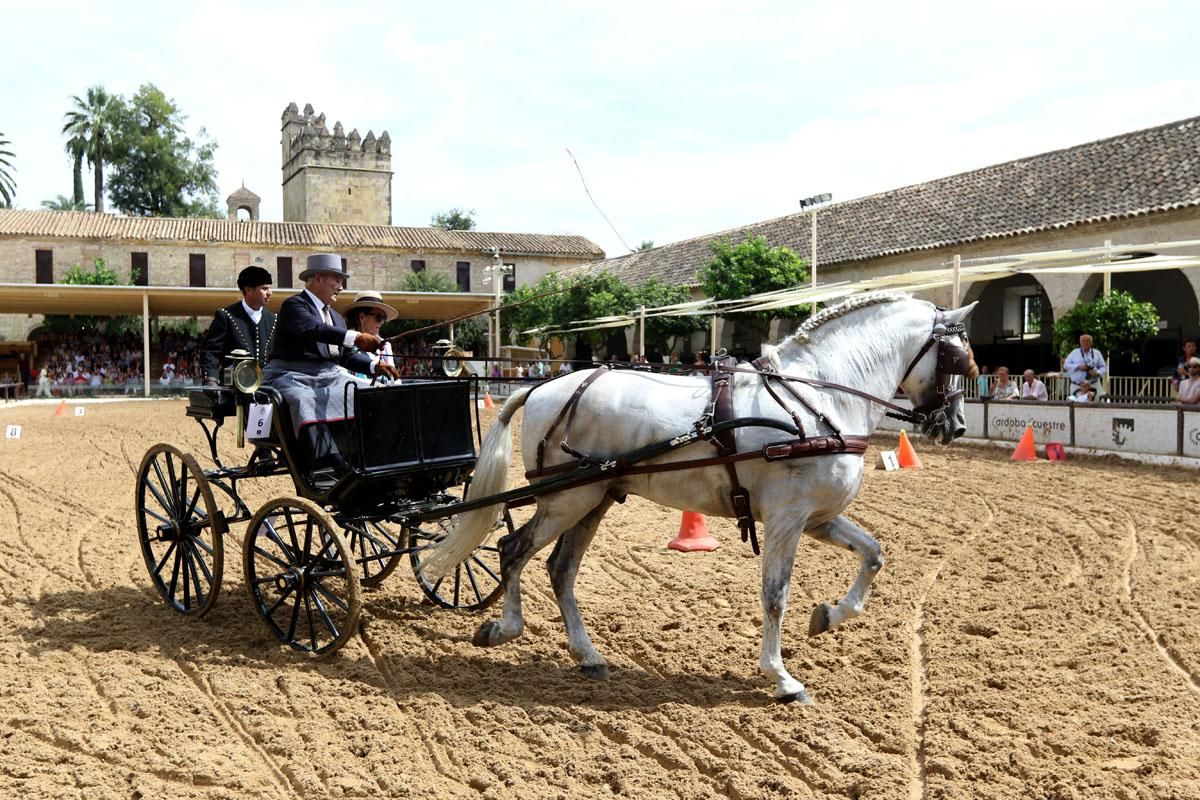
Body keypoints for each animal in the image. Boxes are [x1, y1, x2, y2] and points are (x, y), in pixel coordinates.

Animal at [422, 292, 974, 700]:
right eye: (957, 359)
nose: (956, 427)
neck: (818, 400)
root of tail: (541, 389)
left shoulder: (818, 518)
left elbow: (874, 555)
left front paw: (828, 617)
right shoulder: (787, 519)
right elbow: (775, 595)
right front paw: (781, 677)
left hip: (593, 499)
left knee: (560, 569)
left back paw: (588, 656)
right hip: (566, 500)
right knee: (513, 550)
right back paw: (505, 628)